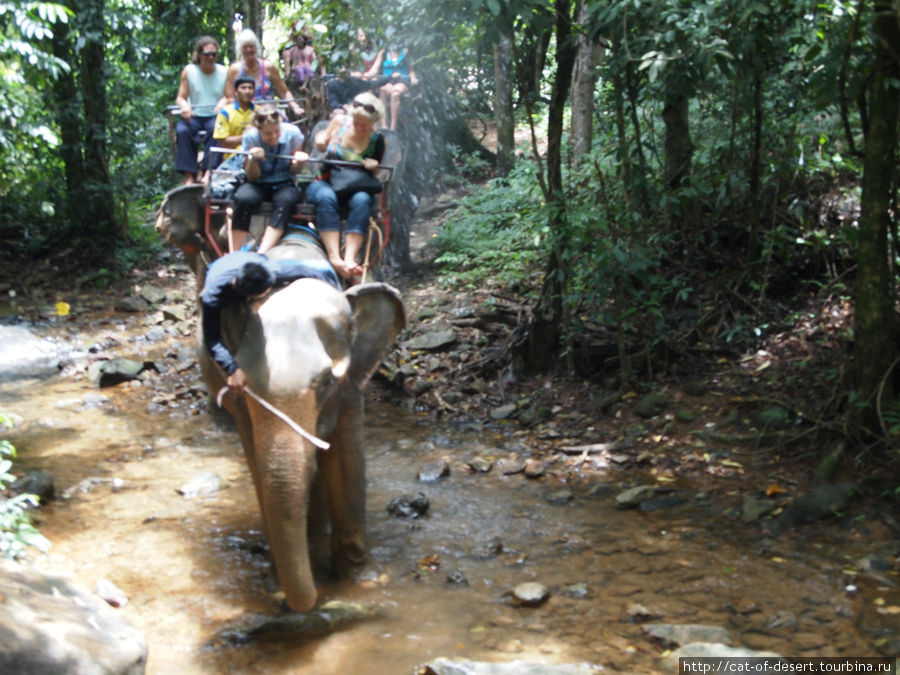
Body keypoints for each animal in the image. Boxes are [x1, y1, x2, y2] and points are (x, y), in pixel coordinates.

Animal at [156, 185, 404, 612]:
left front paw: (367, 581)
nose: (317, 603)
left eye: (326, 382)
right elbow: (260, 464)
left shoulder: (351, 382)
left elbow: (347, 458)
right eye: (246, 387)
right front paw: (277, 584)